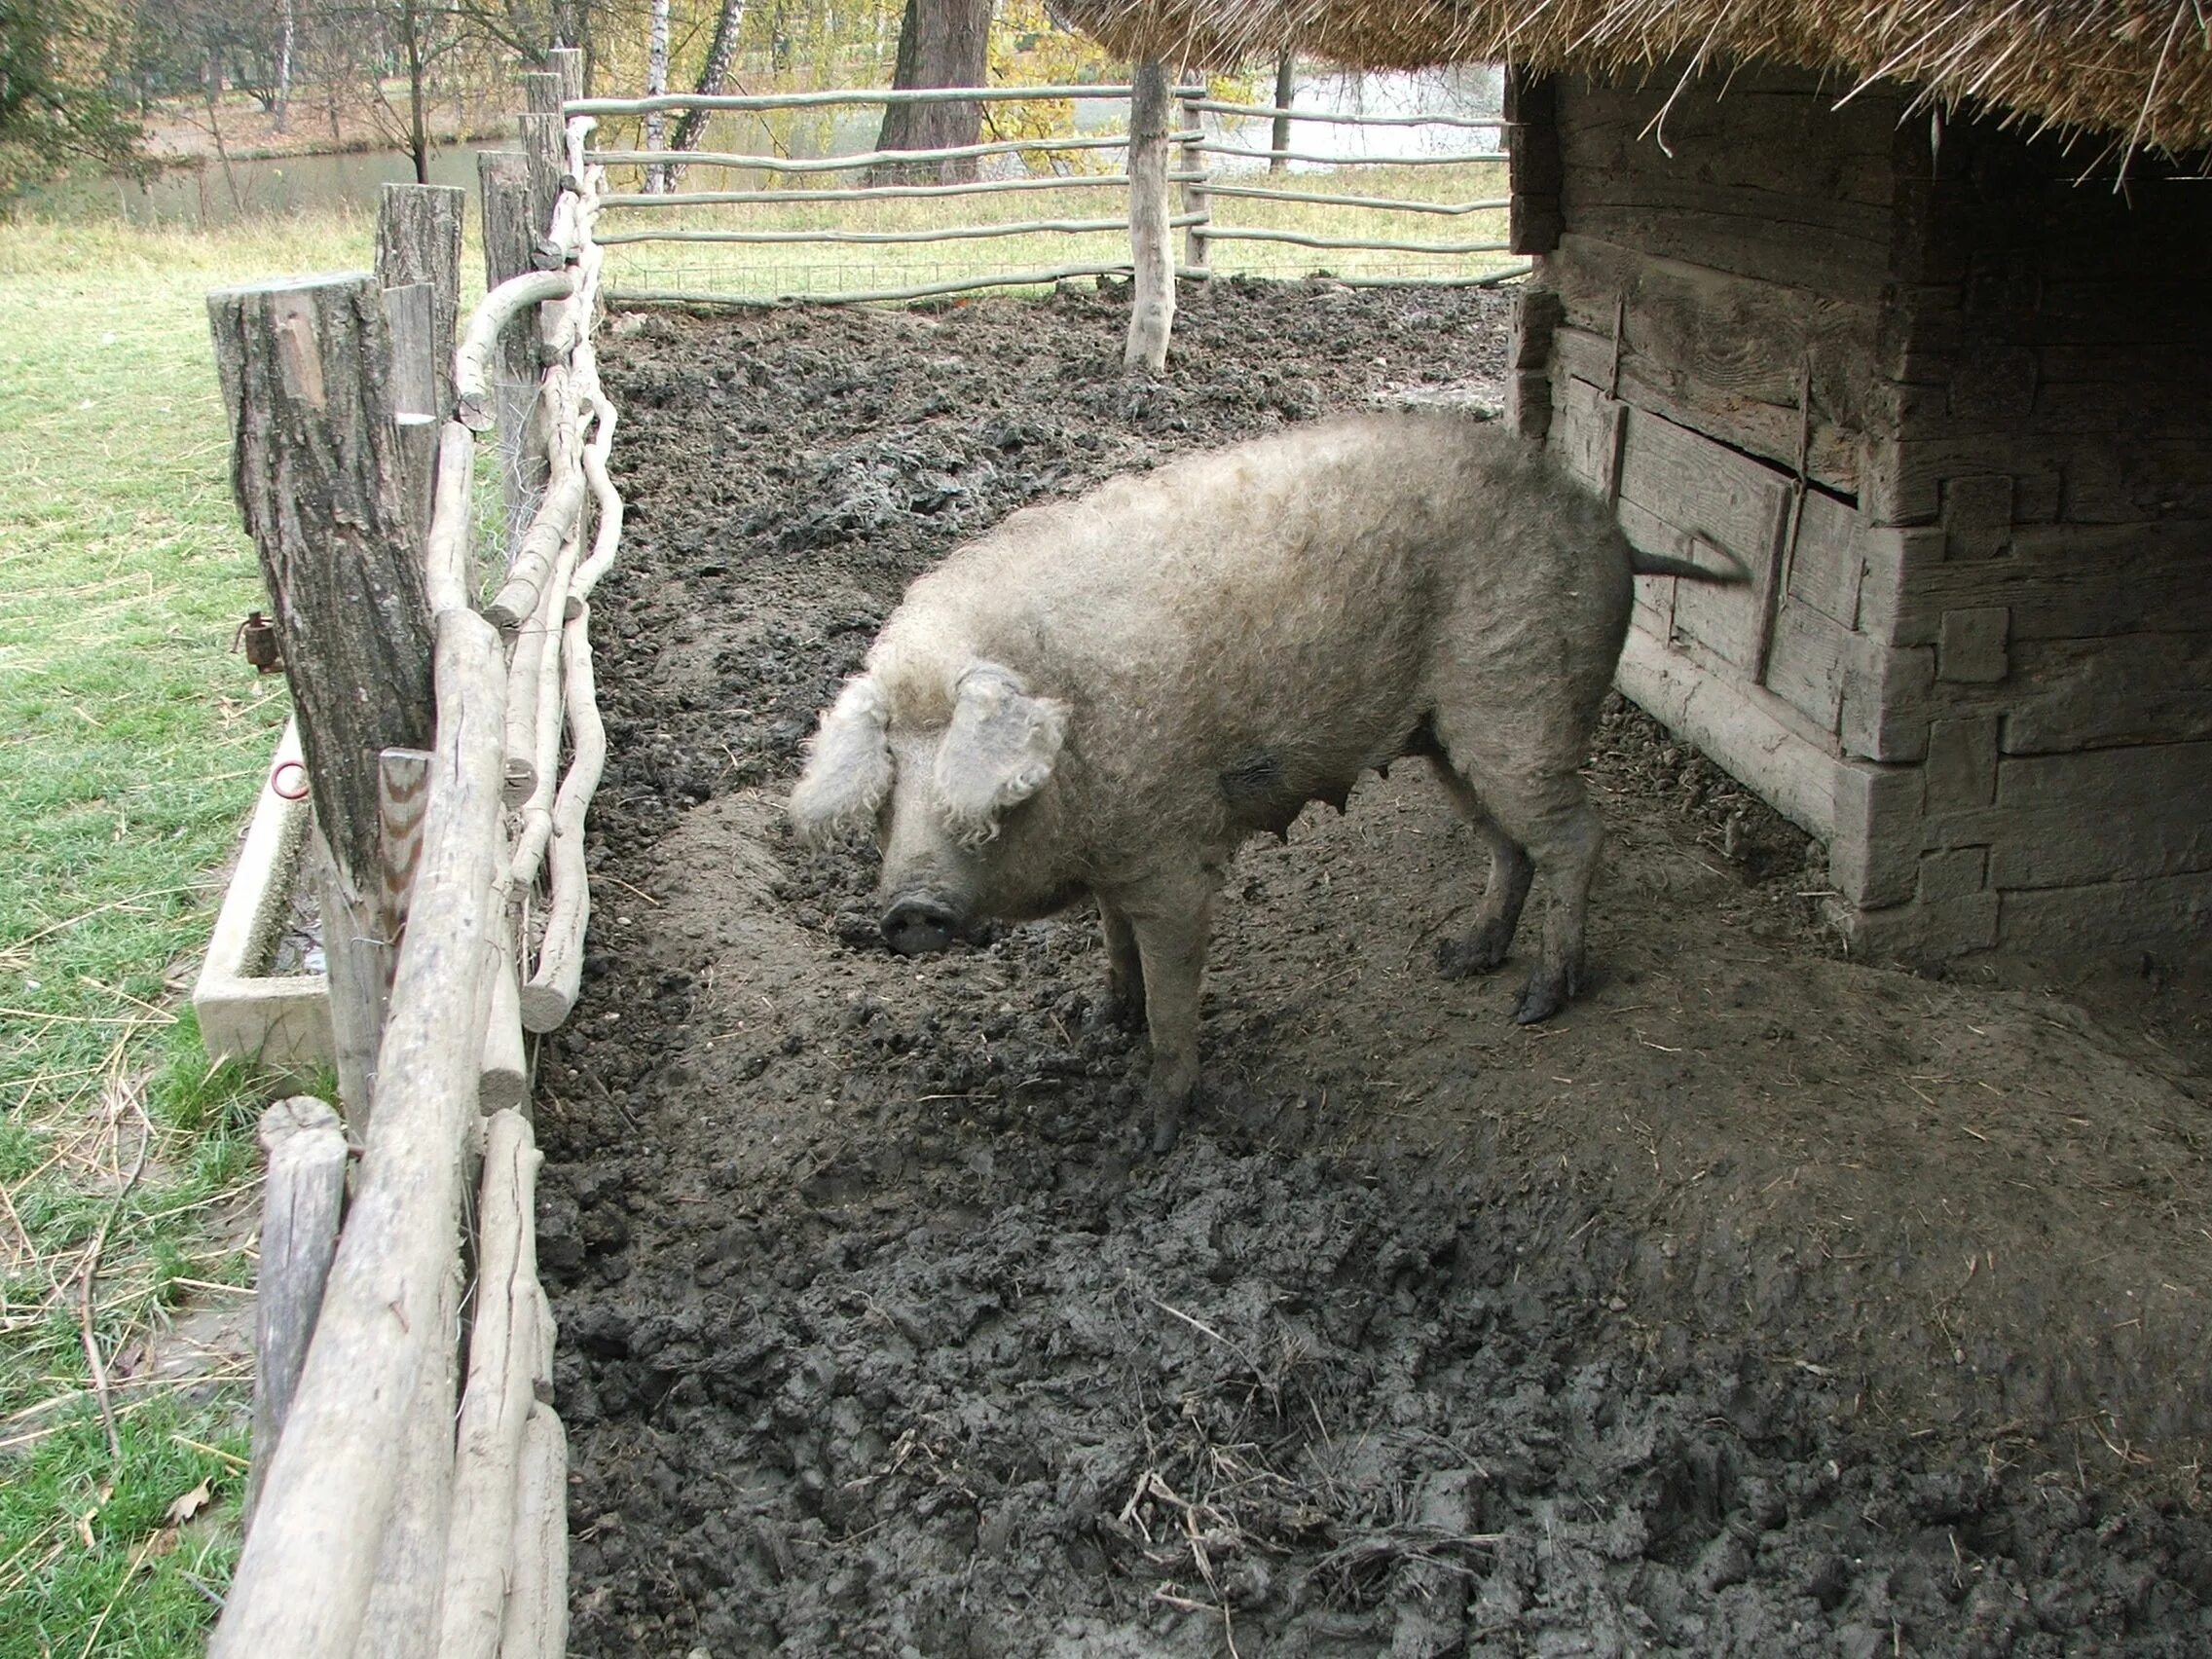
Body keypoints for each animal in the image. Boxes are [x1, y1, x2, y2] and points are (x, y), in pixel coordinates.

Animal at [788, 410, 1739, 1151]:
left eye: (964, 782)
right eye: (887, 792)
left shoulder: (1171, 853)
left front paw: (1150, 1134)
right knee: (1509, 843)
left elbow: (1175, 1002)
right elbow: (1115, 946)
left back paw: (1538, 1003)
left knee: (1577, 836)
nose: (907, 910)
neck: (1078, 753)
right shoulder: (1115, 860)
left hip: (1521, 702)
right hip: (1448, 736)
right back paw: (1460, 959)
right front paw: (1103, 1022)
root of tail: (1611, 528)